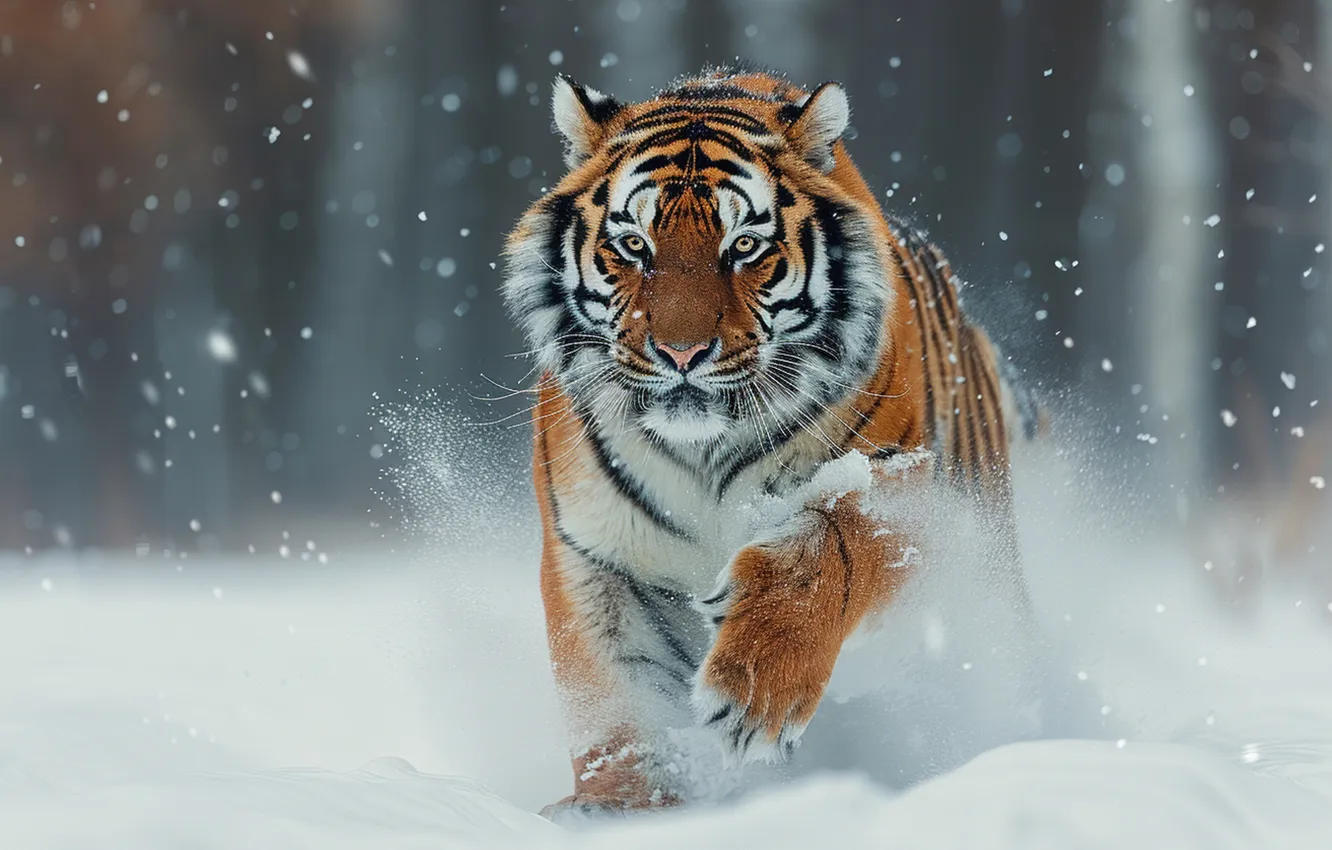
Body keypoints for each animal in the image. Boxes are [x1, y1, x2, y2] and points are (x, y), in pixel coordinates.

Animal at [502, 66, 1043, 819]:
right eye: (634, 246)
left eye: (744, 247)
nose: (680, 353)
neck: (700, 451)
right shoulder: (595, 550)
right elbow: (615, 697)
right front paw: (619, 807)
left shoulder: (904, 491)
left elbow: (829, 543)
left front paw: (751, 686)